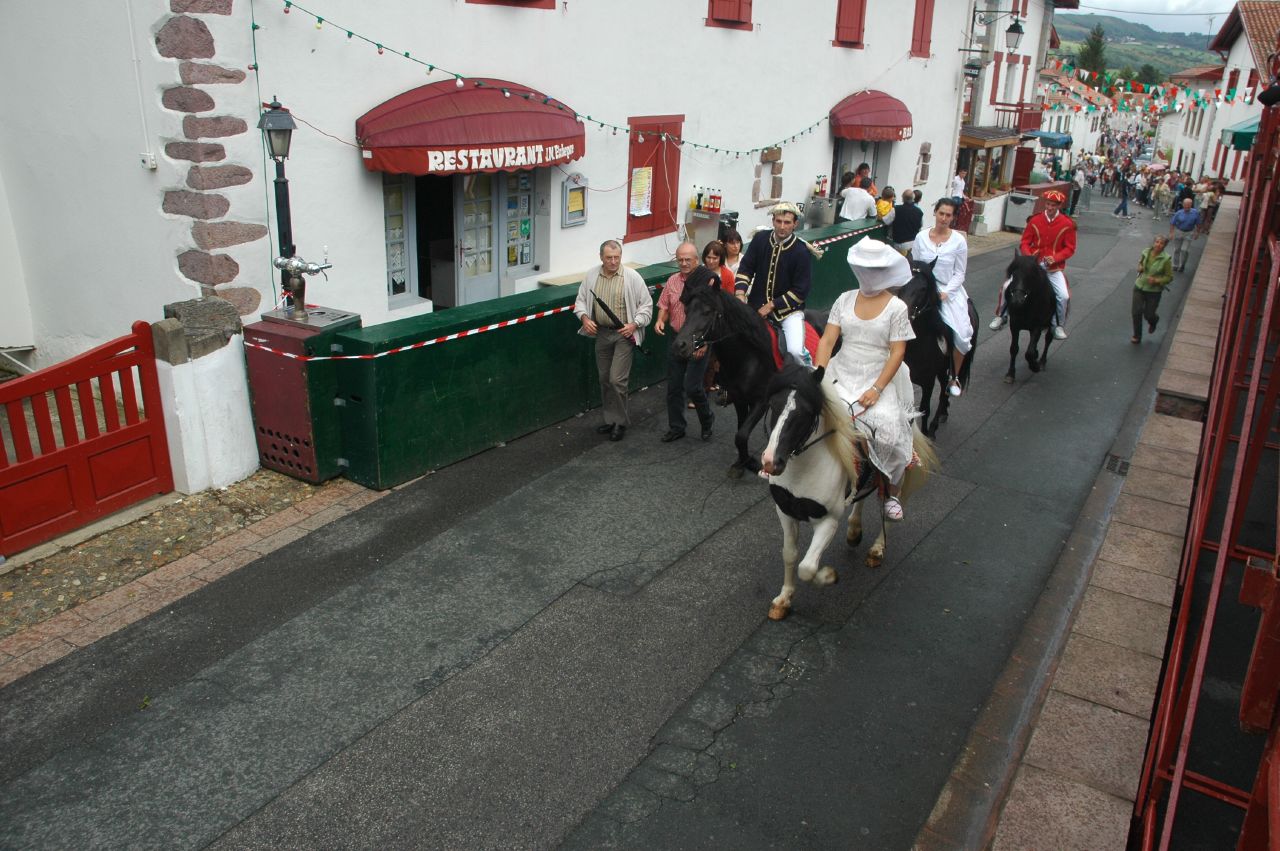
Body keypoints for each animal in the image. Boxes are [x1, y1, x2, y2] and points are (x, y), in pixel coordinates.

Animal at [672, 283, 826, 478]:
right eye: (686, 310)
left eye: (707, 311)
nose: (679, 346)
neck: (749, 357)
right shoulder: (739, 398)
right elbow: (740, 429)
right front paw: (741, 462)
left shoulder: (762, 401)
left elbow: (742, 434)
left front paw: (750, 463)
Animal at [758, 365, 938, 620]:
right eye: (773, 405)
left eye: (804, 413)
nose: (771, 462)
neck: (803, 470)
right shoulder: (785, 512)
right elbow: (790, 555)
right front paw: (783, 600)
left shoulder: (828, 521)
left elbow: (808, 568)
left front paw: (829, 576)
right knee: (861, 493)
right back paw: (854, 531)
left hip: (898, 467)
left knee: (891, 502)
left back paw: (877, 549)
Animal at [898, 260, 978, 436]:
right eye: (902, 283)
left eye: (923, 288)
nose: (903, 317)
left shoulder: (928, 381)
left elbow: (924, 409)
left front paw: (927, 432)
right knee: (943, 387)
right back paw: (943, 413)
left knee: (945, 390)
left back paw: (936, 423)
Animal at [1003, 252, 1057, 383]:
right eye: (1013, 275)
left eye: (1030, 275)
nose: (1017, 301)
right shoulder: (1014, 325)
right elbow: (1014, 348)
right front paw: (1010, 374)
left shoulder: (1037, 326)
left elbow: (1029, 353)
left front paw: (1034, 366)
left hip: (1050, 324)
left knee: (1048, 339)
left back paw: (1041, 362)